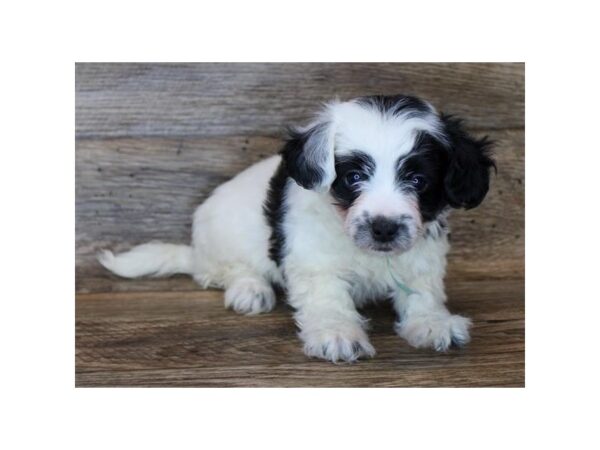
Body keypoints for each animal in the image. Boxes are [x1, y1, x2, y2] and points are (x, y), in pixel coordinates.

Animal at [99, 94, 492, 362]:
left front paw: (432, 323)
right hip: (224, 235)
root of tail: (195, 252)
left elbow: (423, 291)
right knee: (224, 271)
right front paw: (337, 333)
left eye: (417, 180)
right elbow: (328, 299)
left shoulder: (422, 255)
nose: (383, 228)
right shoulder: (315, 261)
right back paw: (250, 289)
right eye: (353, 177)